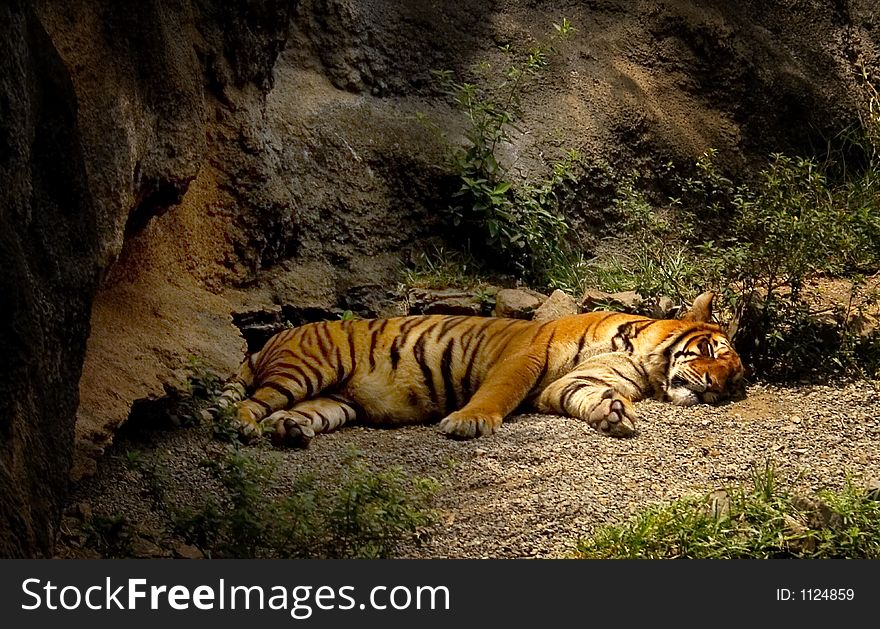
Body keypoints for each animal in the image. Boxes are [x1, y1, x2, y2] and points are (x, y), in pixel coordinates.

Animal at [211, 290, 744, 446]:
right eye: (714, 352)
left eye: (735, 380)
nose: (717, 389)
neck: (641, 357)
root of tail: (270, 340)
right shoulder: (526, 356)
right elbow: (498, 393)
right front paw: (468, 422)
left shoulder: (575, 382)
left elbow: (586, 396)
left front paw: (612, 413)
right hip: (305, 370)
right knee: (251, 403)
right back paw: (243, 428)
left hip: (333, 401)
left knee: (293, 413)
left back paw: (289, 431)